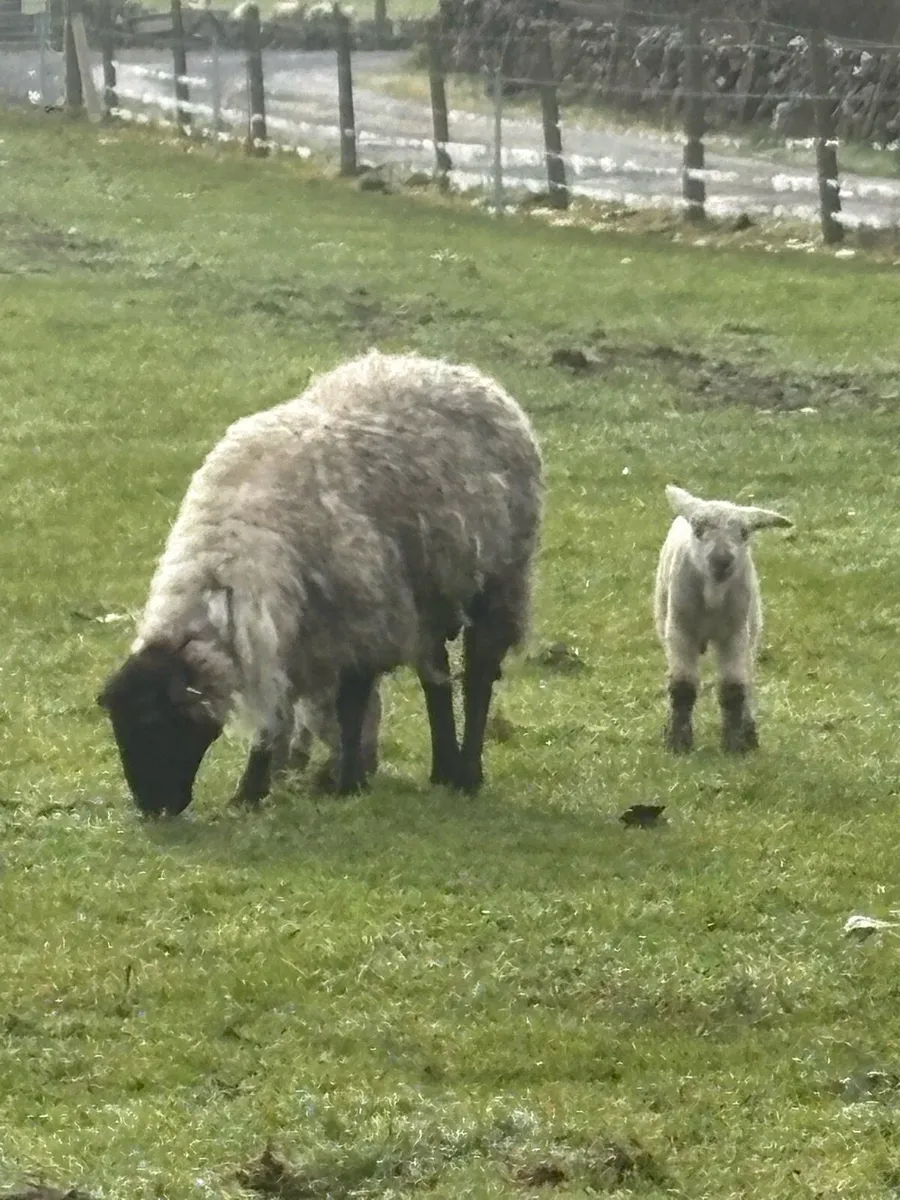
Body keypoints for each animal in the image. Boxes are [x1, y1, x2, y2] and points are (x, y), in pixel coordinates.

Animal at [97, 349, 542, 817]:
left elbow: (350, 705)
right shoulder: (287, 634)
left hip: (500, 580)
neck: (228, 551)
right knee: (434, 676)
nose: (153, 809)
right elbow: (276, 711)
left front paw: (347, 783)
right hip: (426, 596)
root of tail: (456, 371)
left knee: (478, 674)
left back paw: (467, 774)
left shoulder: (361, 622)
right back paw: (443, 770)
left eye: (154, 722)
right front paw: (251, 790)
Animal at [654, 484, 792, 755]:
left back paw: (749, 733)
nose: (721, 561)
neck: (713, 595)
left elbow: (734, 688)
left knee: (748, 677)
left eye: (744, 532)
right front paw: (678, 742)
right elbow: (682, 686)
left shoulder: (735, 633)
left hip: (752, 626)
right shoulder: (679, 630)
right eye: (698, 530)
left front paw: (735, 745)